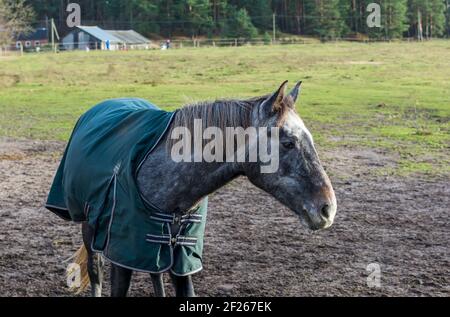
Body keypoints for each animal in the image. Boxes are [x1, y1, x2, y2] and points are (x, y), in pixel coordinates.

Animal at [52, 80, 336, 296]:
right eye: (288, 143)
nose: (328, 208)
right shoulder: (122, 256)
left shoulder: (181, 257)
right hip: (90, 227)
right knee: (96, 272)